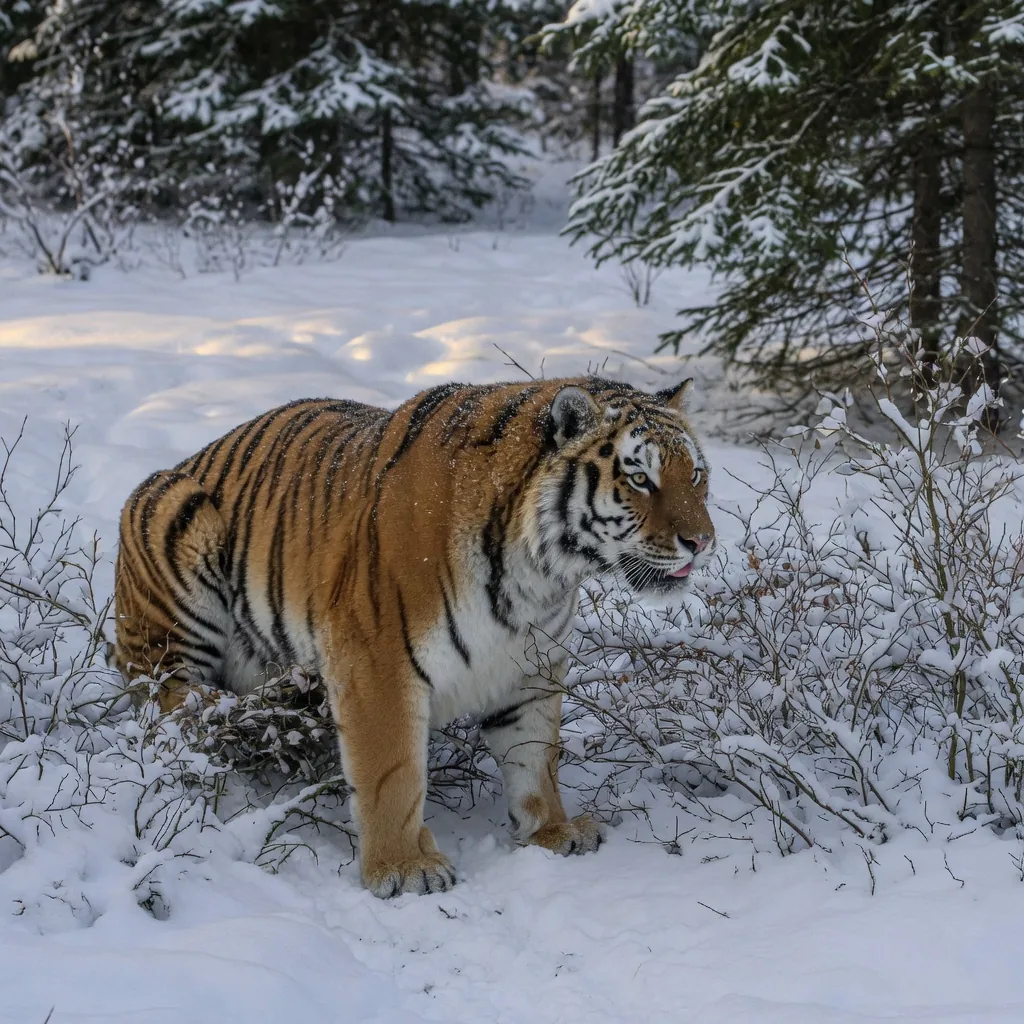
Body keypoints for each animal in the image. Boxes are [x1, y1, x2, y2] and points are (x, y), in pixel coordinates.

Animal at [113, 376, 716, 898]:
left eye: (695, 476)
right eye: (640, 479)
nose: (703, 542)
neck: (542, 573)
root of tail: (190, 457)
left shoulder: (531, 665)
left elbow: (535, 758)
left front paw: (553, 831)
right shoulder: (377, 663)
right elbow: (392, 775)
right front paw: (403, 868)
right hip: (177, 530)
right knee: (170, 700)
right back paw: (246, 709)